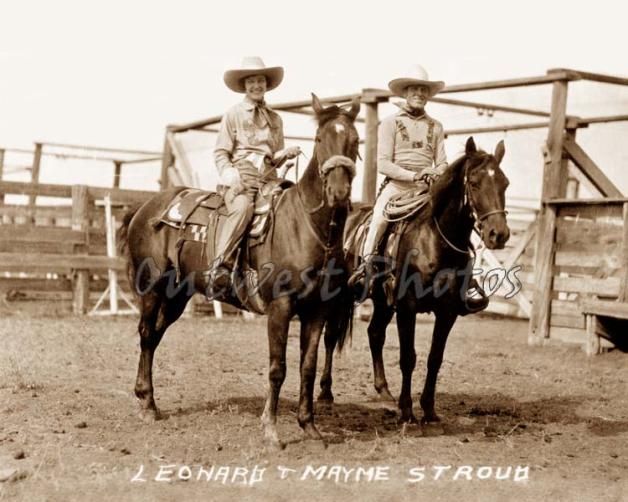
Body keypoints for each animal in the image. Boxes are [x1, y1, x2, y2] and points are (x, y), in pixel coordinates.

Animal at [118, 94, 360, 448]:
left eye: (355, 140)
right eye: (319, 139)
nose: (339, 193)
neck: (306, 226)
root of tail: (146, 207)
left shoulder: (317, 310)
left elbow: (308, 366)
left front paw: (309, 427)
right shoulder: (280, 307)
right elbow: (278, 368)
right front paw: (271, 429)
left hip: (178, 294)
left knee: (156, 335)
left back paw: (146, 400)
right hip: (151, 286)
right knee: (147, 334)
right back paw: (148, 405)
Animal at [318, 137, 510, 432]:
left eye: (505, 183)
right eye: (475, 183)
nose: (498, 234)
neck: (433, 240)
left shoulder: (447, 311)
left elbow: (434, 358)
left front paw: (429, 410)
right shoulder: (407, 307)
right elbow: (408, 357)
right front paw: (407, 411)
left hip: (383, 302)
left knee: (375, 334)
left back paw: (384, 391)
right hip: (339, 296)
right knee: (330, 336)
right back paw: (326, 393)